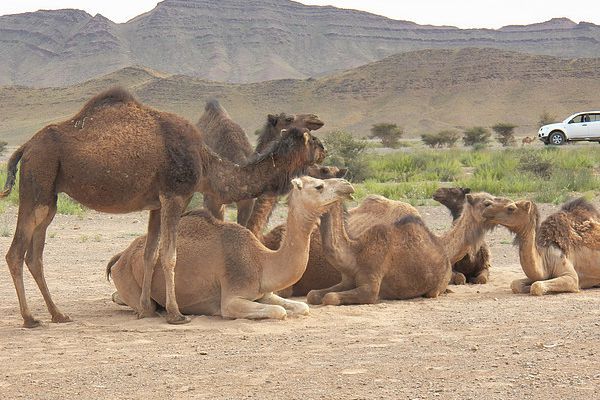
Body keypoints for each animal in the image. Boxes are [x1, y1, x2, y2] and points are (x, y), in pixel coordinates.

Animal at [106, 177, 356, 320]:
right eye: (319, 185)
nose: (347, 184)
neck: (261, 261)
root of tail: (120, 258)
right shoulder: (231, 298)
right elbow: (279, 312)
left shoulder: (264, 293)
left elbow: (301, 307)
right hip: (127, 278)